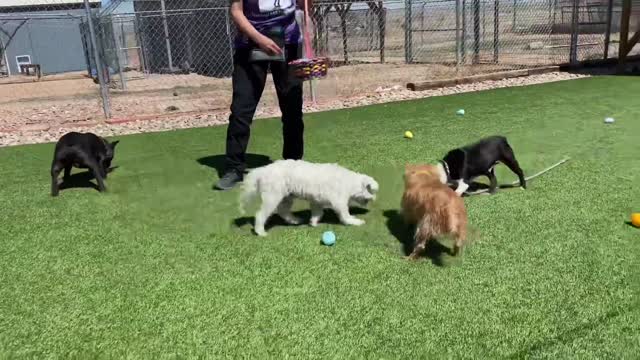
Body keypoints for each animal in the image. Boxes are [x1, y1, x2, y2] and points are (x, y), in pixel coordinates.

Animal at [240, 160, 380, 236]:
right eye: (372, 192)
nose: (374, 200)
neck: (349, 181)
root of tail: (262, 170)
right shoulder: (339, 202)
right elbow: (345, 215)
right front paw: (354, 221)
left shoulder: (316, 201)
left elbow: (318, 212)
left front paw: (313, 222)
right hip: (273, 197)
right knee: (260, 214)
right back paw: (260, 231)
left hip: (286, 197)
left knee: (283, 211)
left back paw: (294, 220)